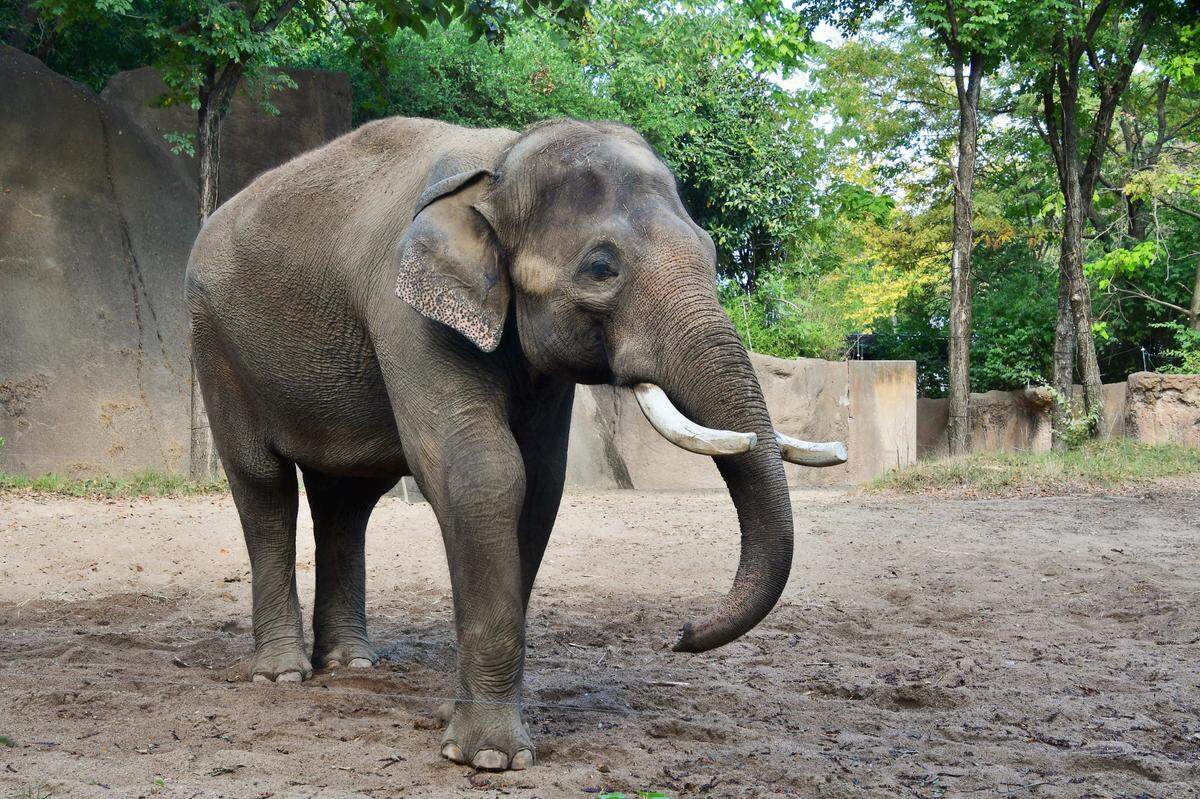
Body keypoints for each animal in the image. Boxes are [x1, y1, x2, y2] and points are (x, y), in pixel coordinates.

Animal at [186, 116, 845, 771]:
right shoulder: (406, 314)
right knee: (263, 484)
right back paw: (280, 675)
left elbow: (540, 481)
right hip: (213, 340)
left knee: (347, 501)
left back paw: (352, 664)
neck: (502, 162)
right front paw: (488, 757)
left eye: (711, 255)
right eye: (601, 268)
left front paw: (456, 724)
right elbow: (484, 472)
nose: (681, 633)